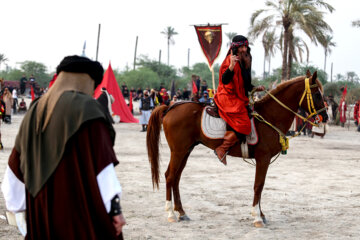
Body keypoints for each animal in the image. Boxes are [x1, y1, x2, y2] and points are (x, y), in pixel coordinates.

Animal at [147, 71, 330, 227]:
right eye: (317, 94)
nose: (325, 117)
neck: (269, 117)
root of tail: (170, 107)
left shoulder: (263, 160)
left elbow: (260, 186)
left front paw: (261, 214)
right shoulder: (263, 158)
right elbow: (258, 185)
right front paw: (257, 217)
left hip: (186, 150)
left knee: (176, 178)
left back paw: (181, 212)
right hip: (178, 151)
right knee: (170, 176)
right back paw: (171, 213)